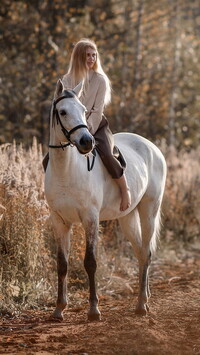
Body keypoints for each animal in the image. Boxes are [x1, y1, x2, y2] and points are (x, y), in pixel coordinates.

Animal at [45, 80, 167, 322]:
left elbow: (90, 262)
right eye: (62, 112)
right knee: (141, 253)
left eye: (84, 110)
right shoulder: (60, 221)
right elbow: (62, 264)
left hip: (149, 211)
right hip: (127, 217)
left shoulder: (90, 218)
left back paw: (141, 305)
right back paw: (145, 298)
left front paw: (94, 310)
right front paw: (59, 309)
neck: (66, 170)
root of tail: (153, 147)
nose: (86, 142)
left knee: (147, 252)